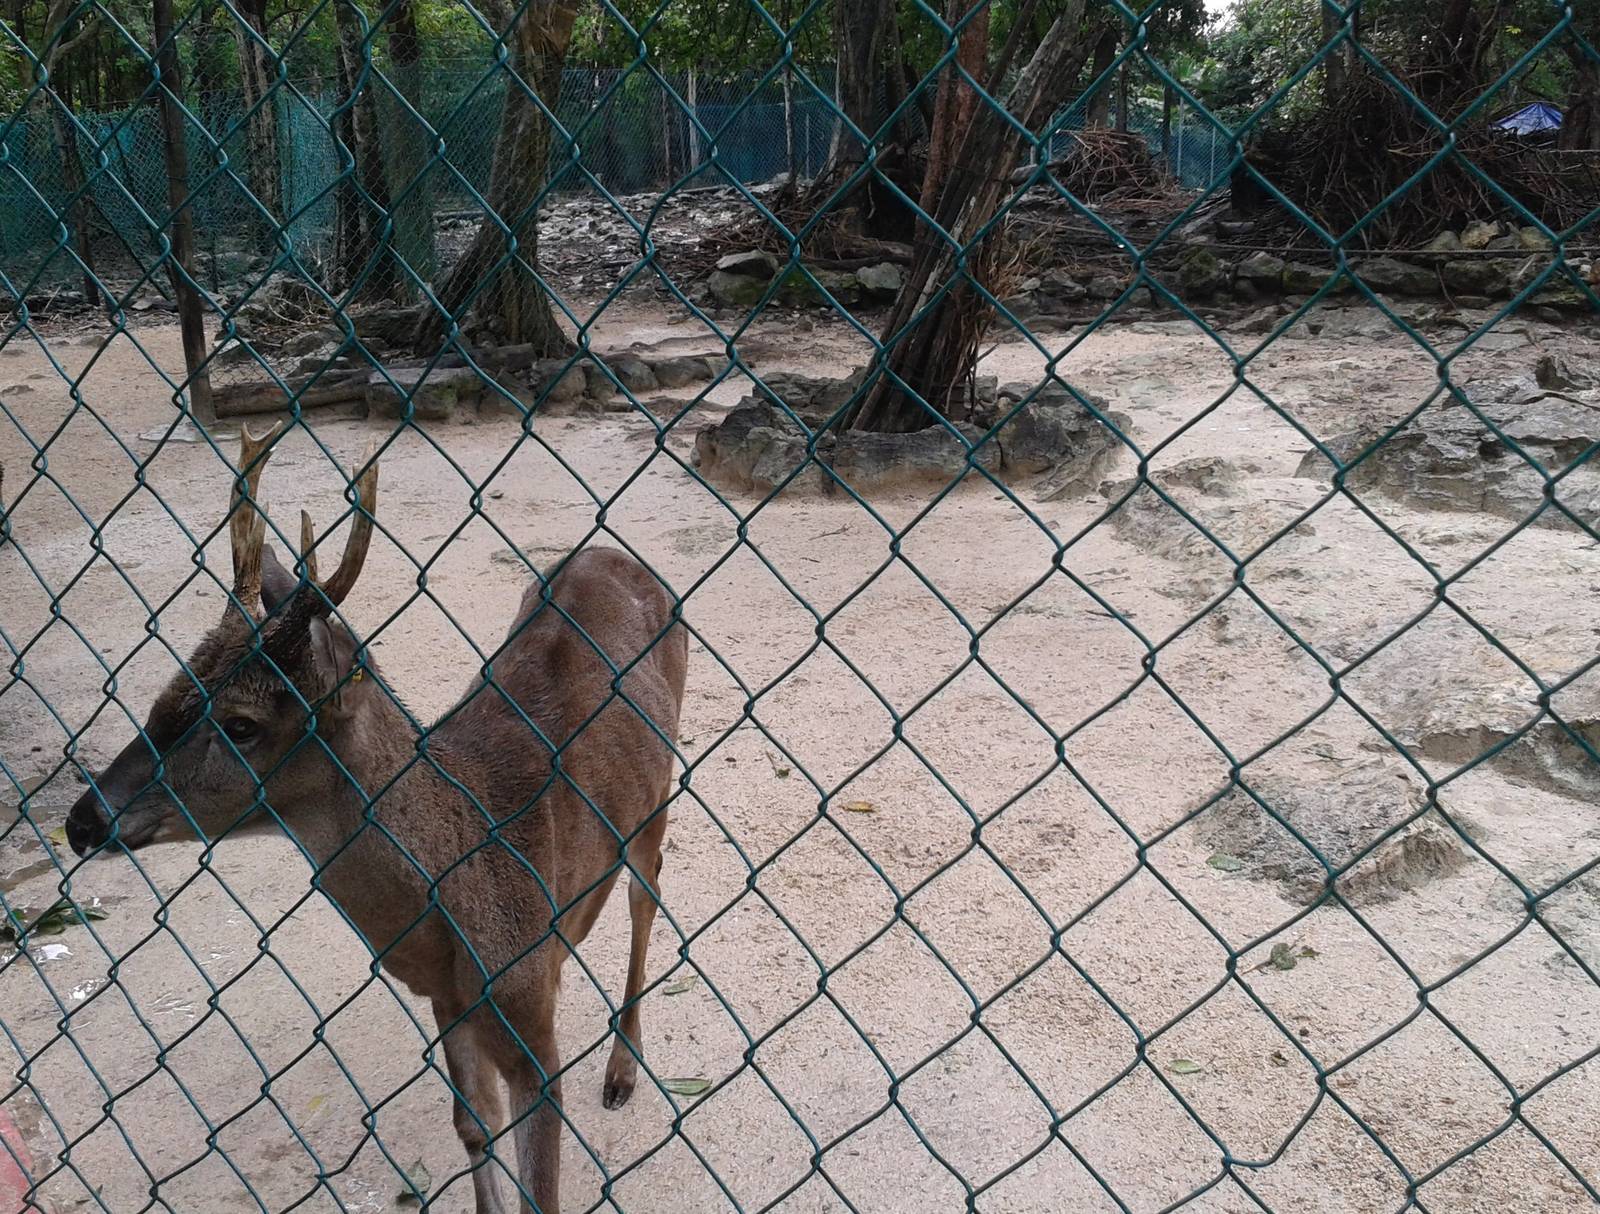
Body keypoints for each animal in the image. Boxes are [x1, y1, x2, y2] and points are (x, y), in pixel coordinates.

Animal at [65, 423, 689, 1214]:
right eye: (163, 693)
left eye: (239, 724)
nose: (83, 820)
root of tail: (619, 556)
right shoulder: (447, 999)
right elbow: (471, 1124)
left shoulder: (528, 1021)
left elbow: (540, 1187)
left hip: (658, 793)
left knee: (648, 889)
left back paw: (622, 1069)